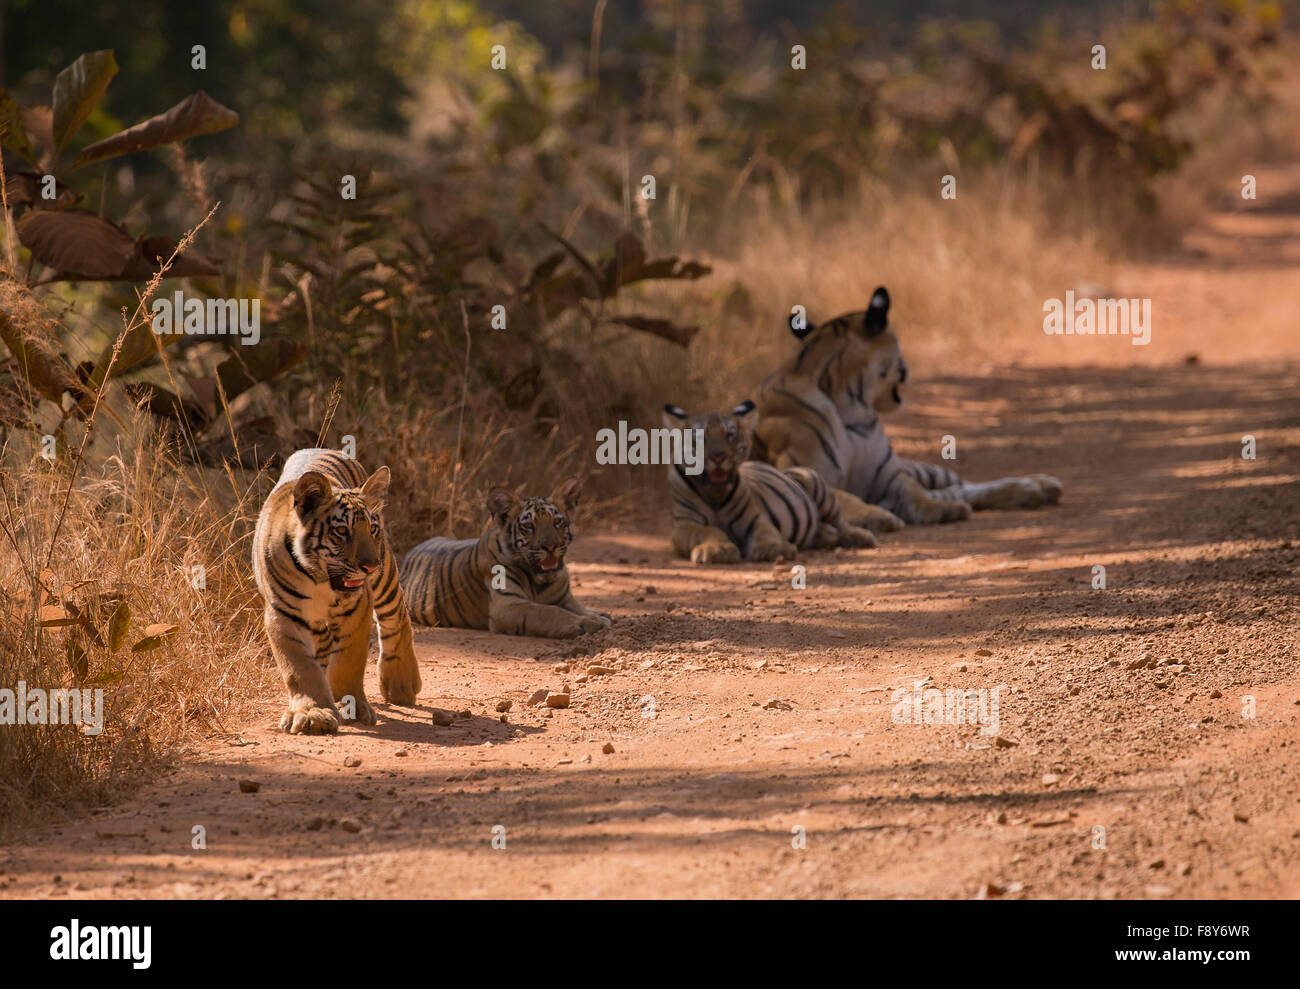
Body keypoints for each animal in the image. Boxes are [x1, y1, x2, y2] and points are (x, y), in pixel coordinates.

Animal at [250, 447, 418, 732]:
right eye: (341, 531)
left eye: (372, 529)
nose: (370, 566)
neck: (318, 578)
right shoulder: (284, 614)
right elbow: (299, 667)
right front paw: (312, 713)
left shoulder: (359, 607)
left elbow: (348, 662)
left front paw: (352, 706)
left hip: (385, 578)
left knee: (395, 616)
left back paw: (402, 684)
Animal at [397, 478, 611, 639]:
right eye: (529, 526)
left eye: (557, 522)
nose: (550, 547)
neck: (540, 581)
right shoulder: (509, 606)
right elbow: (550, 612)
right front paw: (587, 623)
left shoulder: (564, 598)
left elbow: (577, 606)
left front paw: (598, 615)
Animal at [665, 397, 878, 558]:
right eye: (699, 439)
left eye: (729, 436)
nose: (718, 457)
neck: (715, 495)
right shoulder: (685, 526)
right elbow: (709, 531)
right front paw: (718, 549)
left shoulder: (757, 517)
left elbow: (765, 531)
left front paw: (774, 548)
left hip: (817, 486)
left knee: (840, 522)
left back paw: (861, 537)